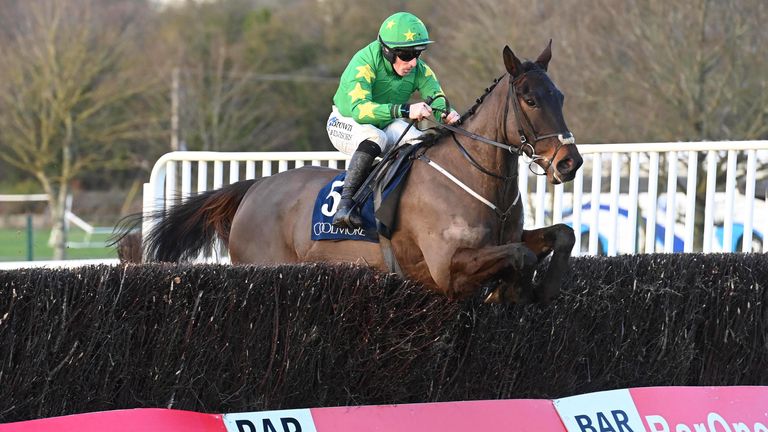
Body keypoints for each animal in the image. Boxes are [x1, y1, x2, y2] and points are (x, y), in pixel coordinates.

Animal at [135, 41, 584, 304]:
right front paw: (517, 288)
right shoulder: (446, 269)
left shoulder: (506, 238)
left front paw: (543, 288)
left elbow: (562, 234)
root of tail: (256, 187)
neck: (478, 181)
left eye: (560, 95)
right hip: (259, 266)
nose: (569, 162)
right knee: (368, 141)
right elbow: (522, 256)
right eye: (529, 99)